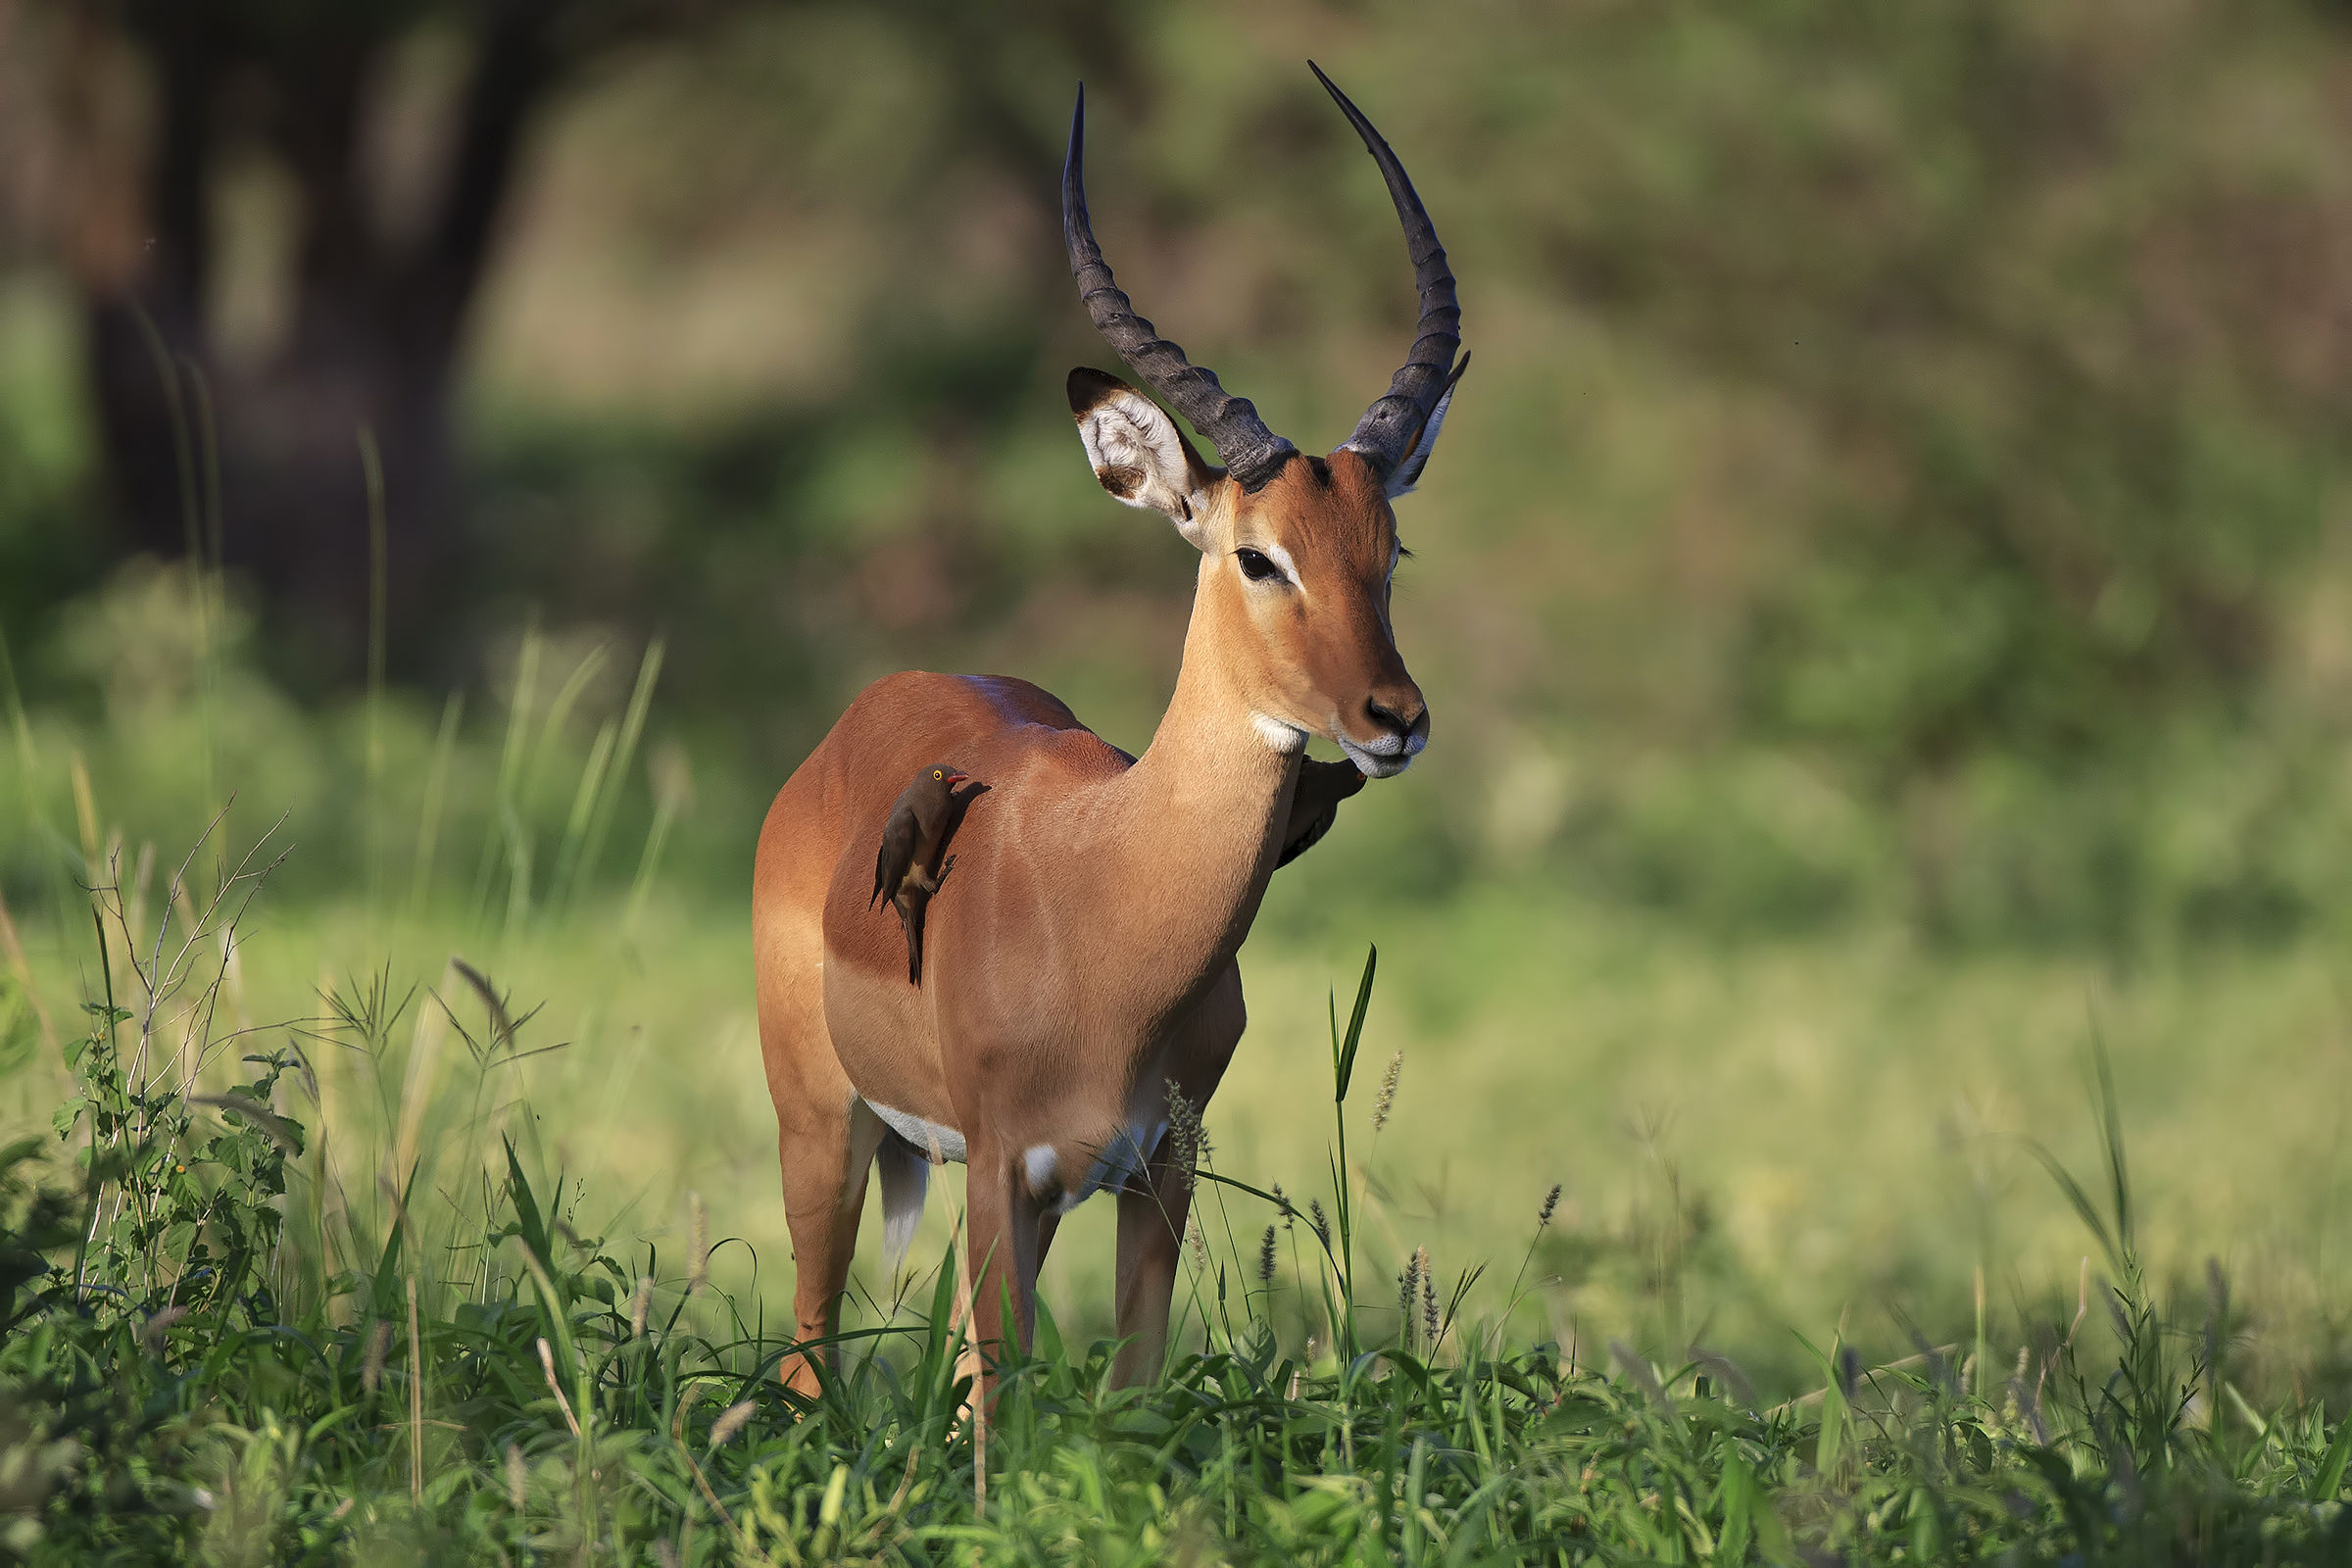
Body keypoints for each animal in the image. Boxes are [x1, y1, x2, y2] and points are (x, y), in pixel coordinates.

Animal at [753, 64, 1464, 1395]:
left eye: (1389, 554)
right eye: (1258, 554)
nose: (1393, 719)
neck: (1107, 901)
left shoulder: (1156, 1173)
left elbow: (1125, 1392)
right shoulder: (1002, 1172)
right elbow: (999, 1404)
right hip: (822, 1125)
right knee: (807, 1354)